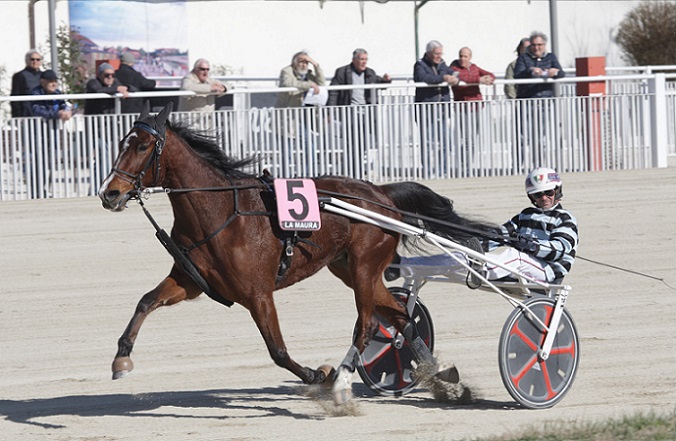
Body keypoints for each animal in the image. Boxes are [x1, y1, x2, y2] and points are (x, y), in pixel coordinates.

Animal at [98, 101, 492, 404]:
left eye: (144, 146)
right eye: (122, 142)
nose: (110, 193)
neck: (221, 211)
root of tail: (381, 193)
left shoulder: (258, 293)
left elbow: (278, 350)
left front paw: (319, 374)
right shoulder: (190, 280)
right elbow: (146, 302)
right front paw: (121, 359)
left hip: (365, 266)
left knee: (368, 324)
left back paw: (343, 381)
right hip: (348, 269)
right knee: (400, 317)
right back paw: (441, 372)